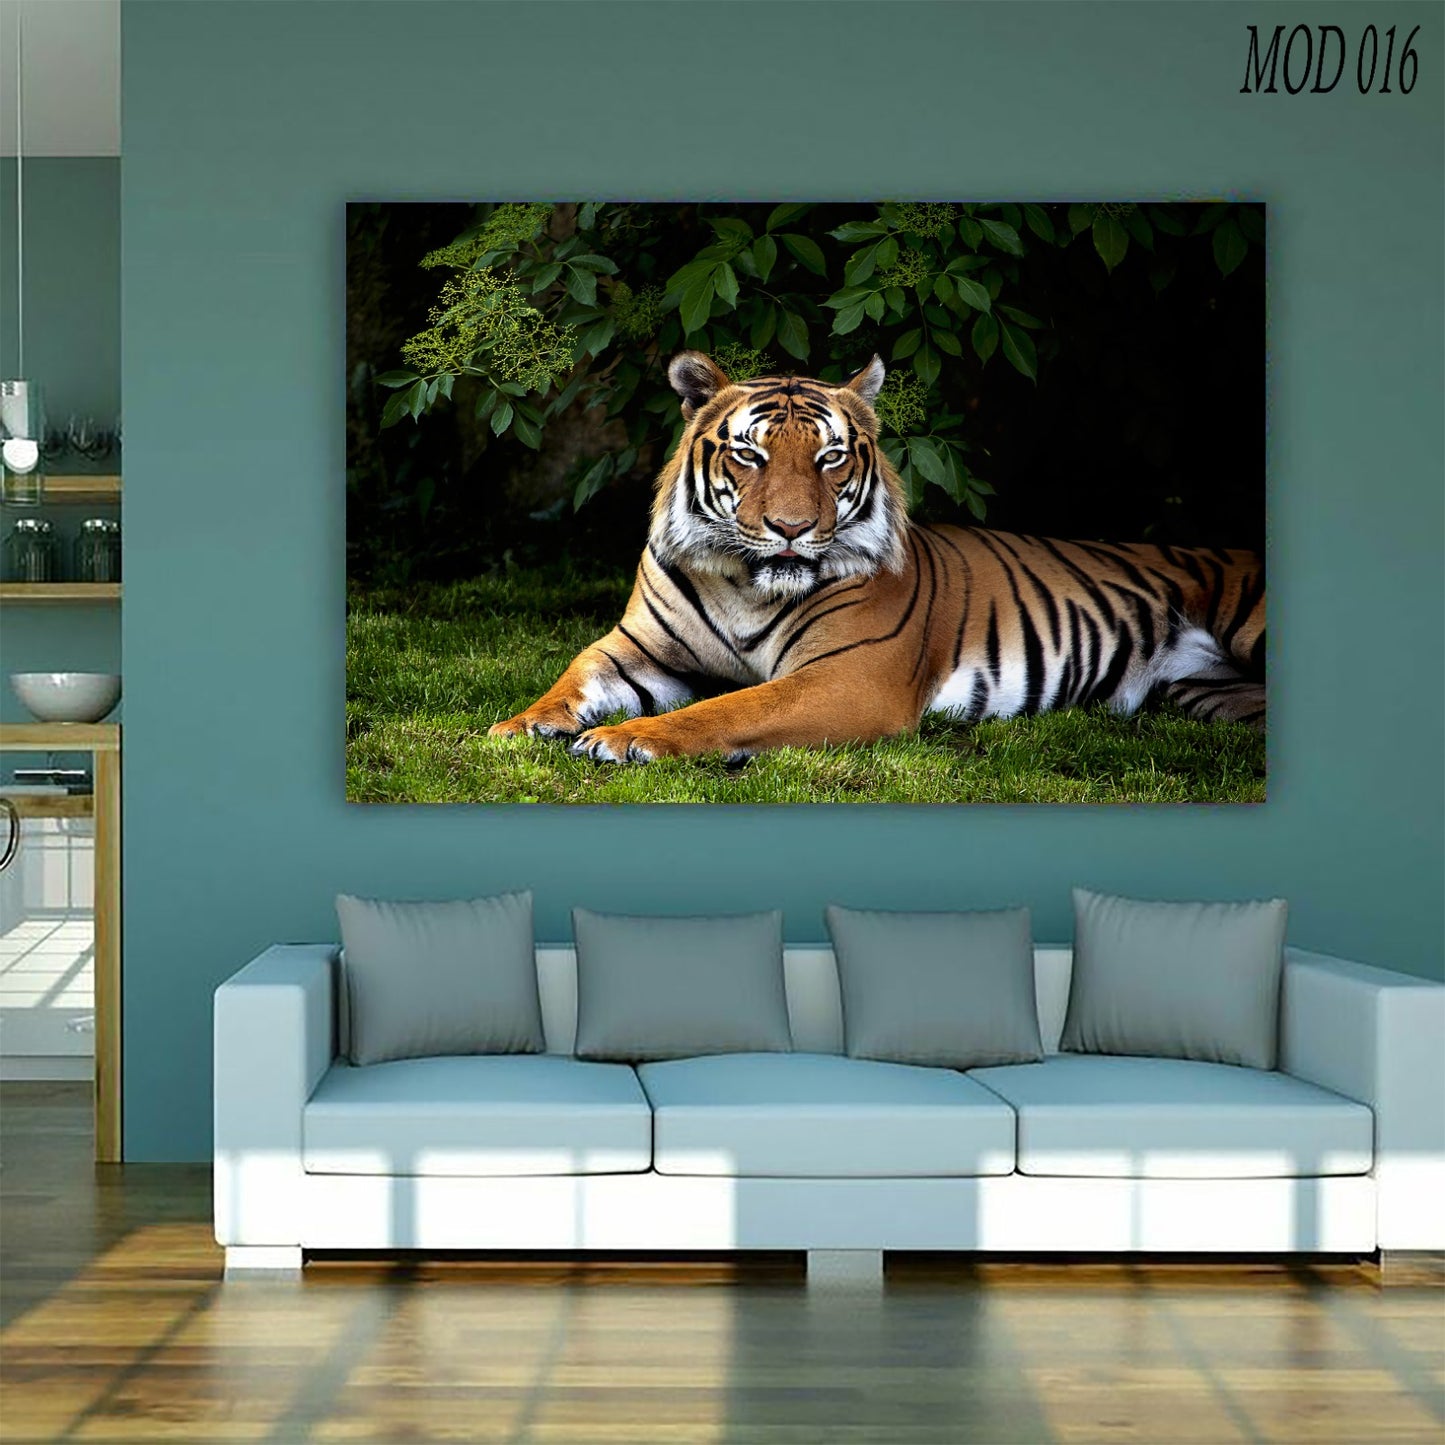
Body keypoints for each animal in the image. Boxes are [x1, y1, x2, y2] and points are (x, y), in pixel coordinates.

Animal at [488, 350, 1265, 762]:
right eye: (750, 454)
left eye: (830, 458)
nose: (791, 528)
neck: (745, 584)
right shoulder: (637, 647)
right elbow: (575, 674)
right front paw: (521, 724)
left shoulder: (847, 678)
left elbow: (725, 709)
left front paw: (623, 739)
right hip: (1212, 696)